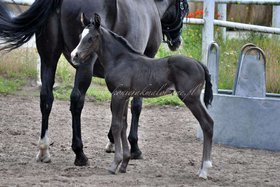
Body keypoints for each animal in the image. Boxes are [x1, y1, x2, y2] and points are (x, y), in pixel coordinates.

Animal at [0, 0, 190, 167]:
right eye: (185, 7)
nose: (178, 41)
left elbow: (118, 108)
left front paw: (113, 141)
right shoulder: (145, 60)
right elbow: (136, 106)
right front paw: (134, 147)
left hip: (48, 57)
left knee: (46, 98)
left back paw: (44, 150)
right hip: (83, 63)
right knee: (77, 100)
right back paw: (80, 154)